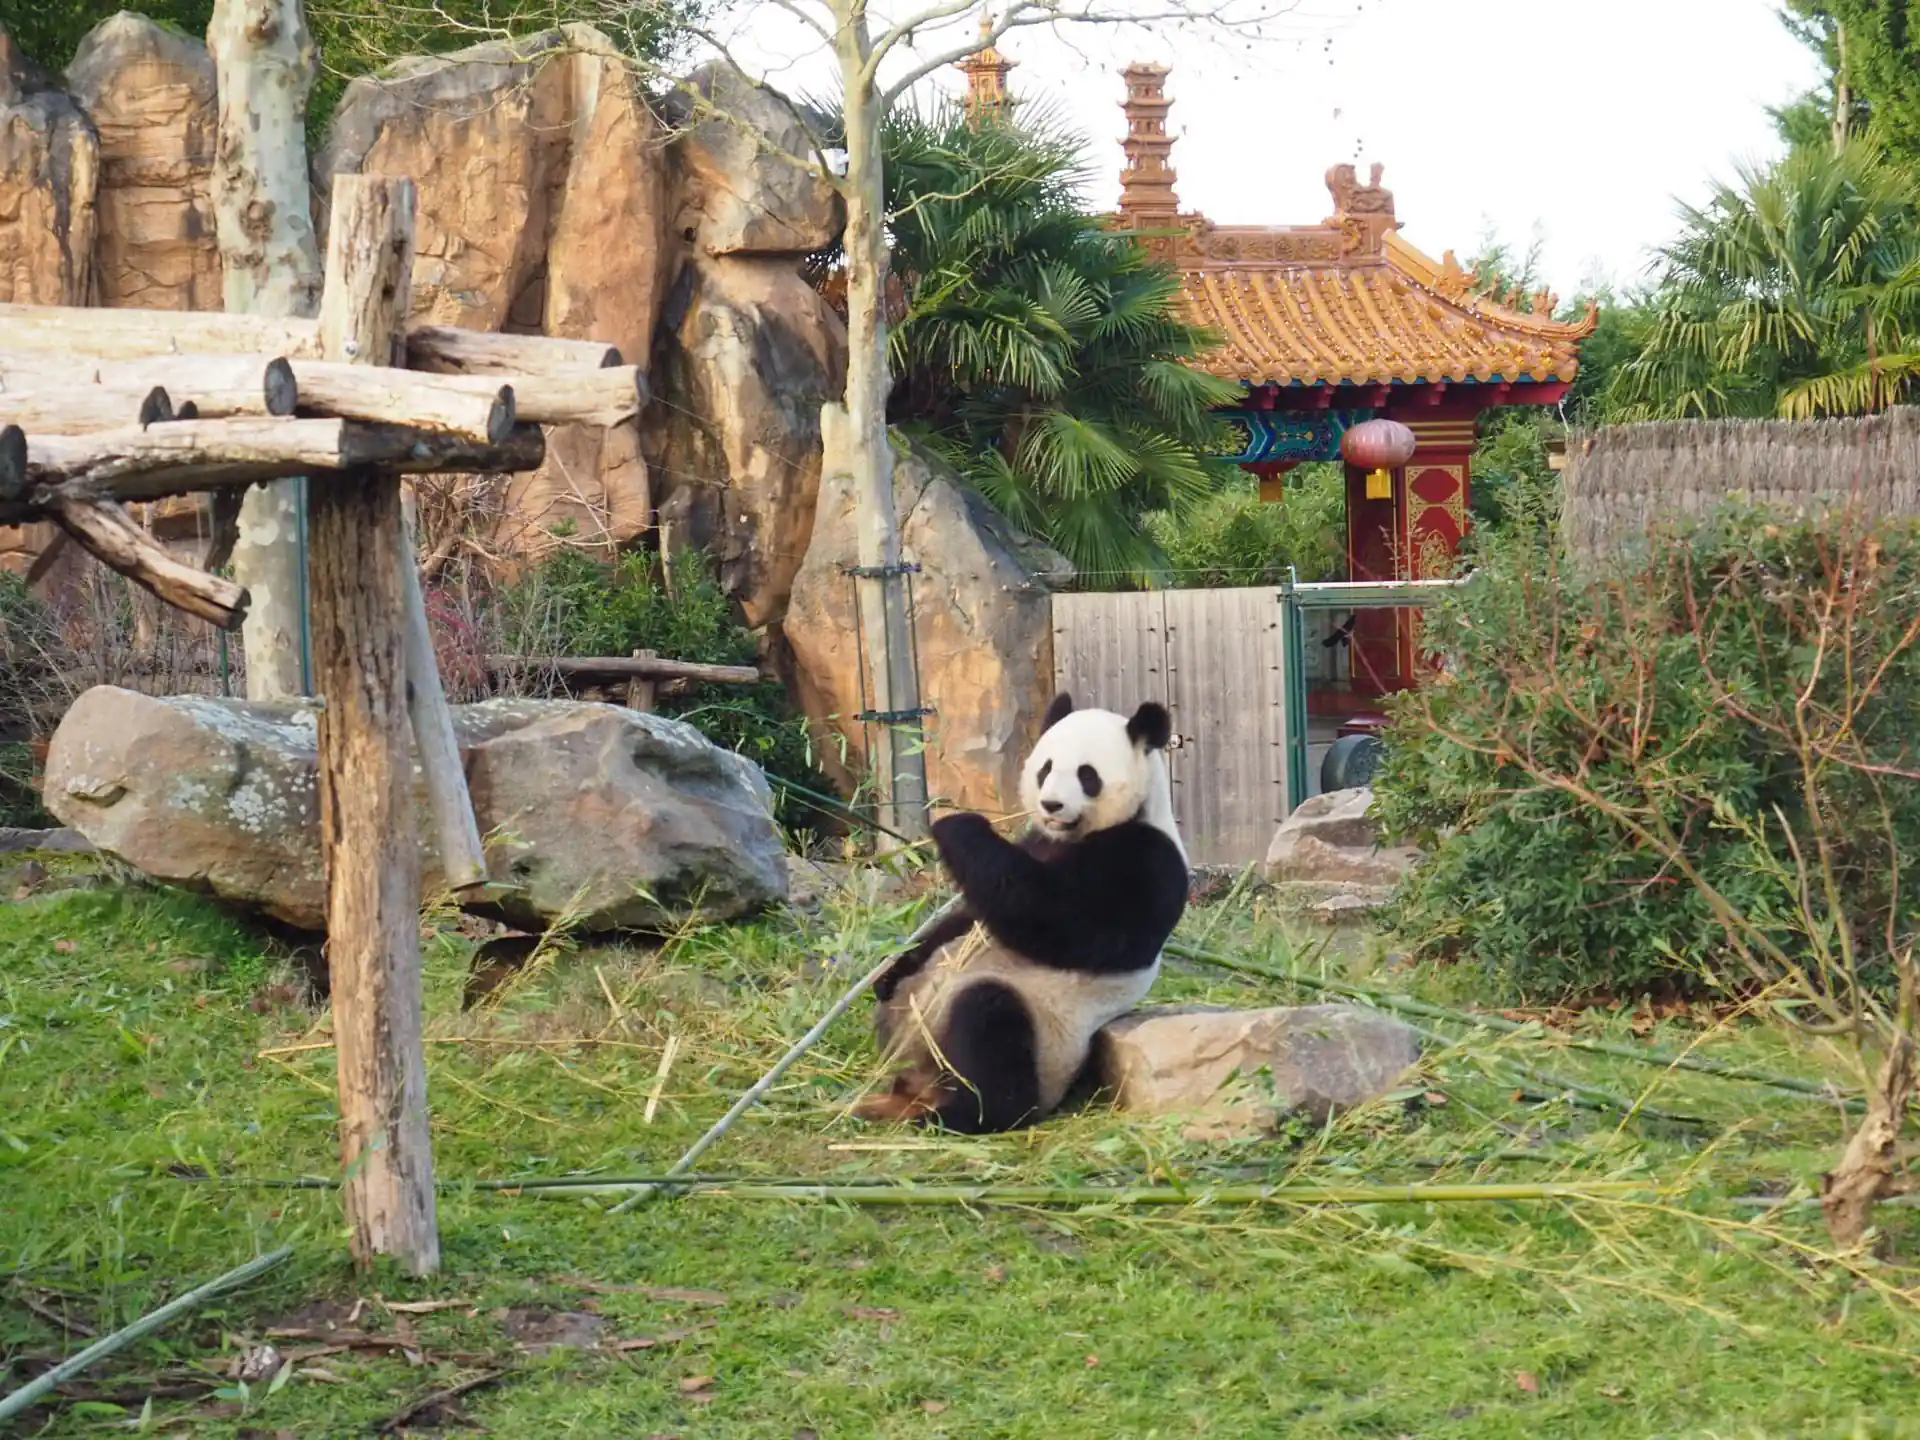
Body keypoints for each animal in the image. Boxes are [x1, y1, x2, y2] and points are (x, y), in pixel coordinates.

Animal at [853, 691, 1190, 1134]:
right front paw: (888, 969)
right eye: (1045, 768)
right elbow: (968, 914)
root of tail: (922, 1084)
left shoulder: (1147, 860)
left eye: (1087, 775)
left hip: (1046, 1038)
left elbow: (1064, 924)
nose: (1051, 804)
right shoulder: (1037, 841)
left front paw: (958, 825)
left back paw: (960, 1115)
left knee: (990, 1027)